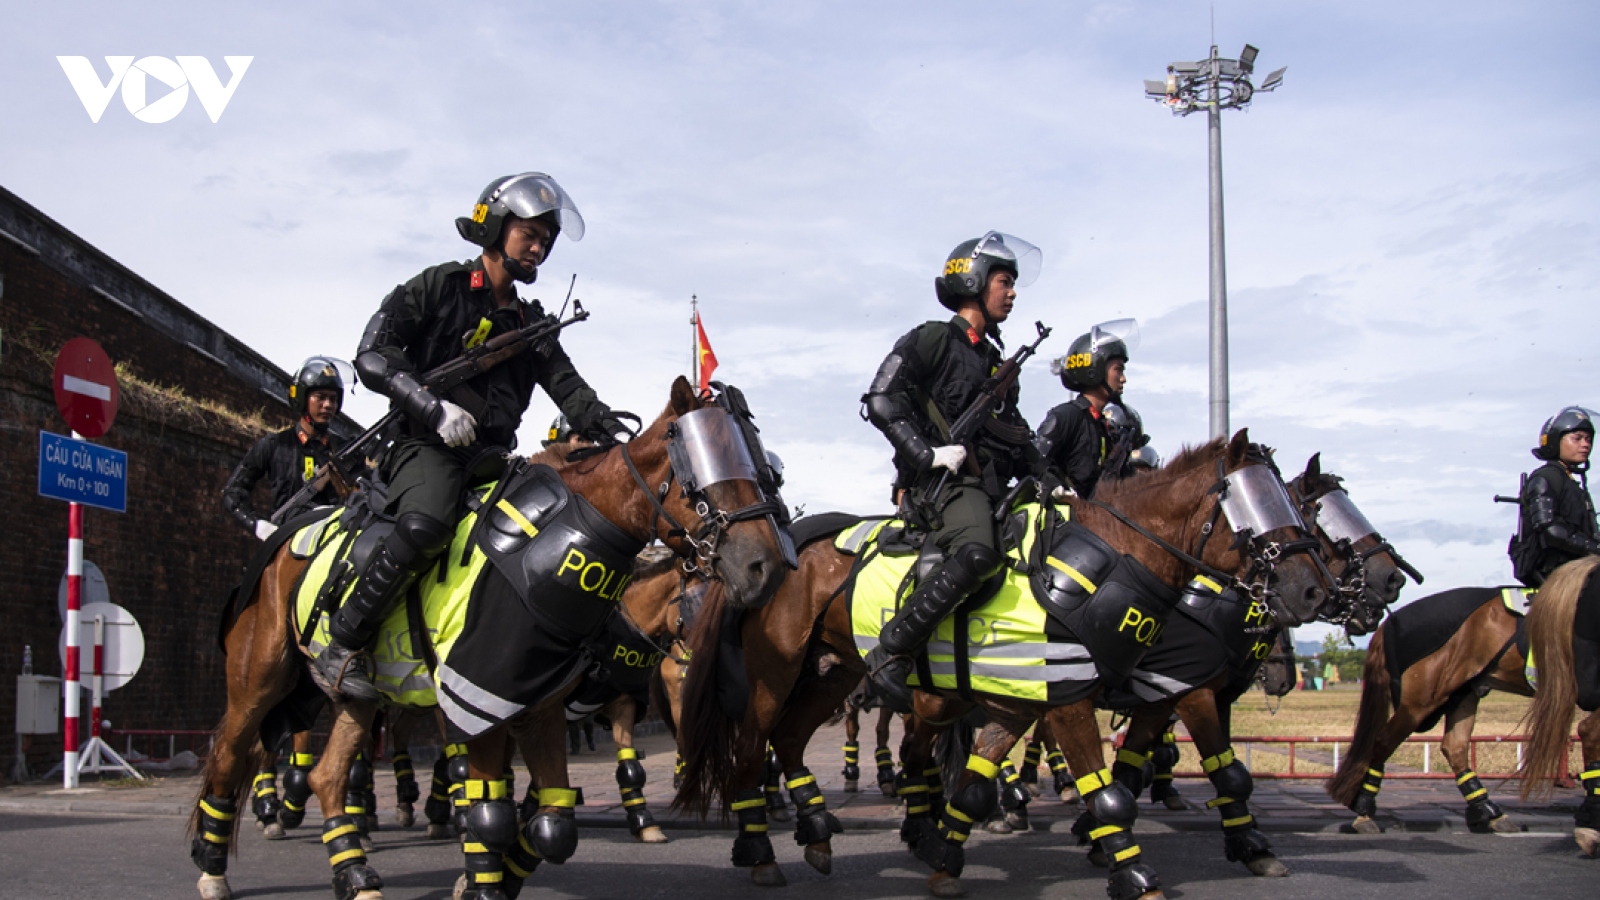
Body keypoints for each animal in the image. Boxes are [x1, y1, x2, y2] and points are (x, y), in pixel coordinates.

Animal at [190, 376, 790, 896]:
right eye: (700, 466)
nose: (765, 567)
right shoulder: (475, 699)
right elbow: (489, 807)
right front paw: (479, 876)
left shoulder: (542, 706)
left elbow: (553, 821)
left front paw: (498, 874)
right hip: (260, 680)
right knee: (232, 753)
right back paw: (216, 863)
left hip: (357, 700)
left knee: (329, 776)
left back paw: (354, 871)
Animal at [675, 432, 1337, 890]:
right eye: (1256, 504)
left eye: (1294, 506)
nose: (1311, 590)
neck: (1114, 561)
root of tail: (777, 549)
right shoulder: (1094, 699)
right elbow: (1118, 793)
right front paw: (1136, 876)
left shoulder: (1027, 704)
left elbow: (974, 788)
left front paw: (947, 859)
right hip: (777, 673)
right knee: (751, 747)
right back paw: (760, 850)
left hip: (833, 674)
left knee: (794, 741)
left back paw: (818, 833)